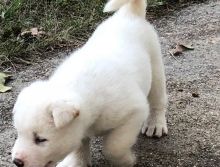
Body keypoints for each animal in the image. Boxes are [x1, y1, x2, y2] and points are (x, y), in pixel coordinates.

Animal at [11, 0, 167, 167]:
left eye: (40, 139)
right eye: (19, 133)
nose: (16, 161)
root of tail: (129, 14)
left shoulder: (135, 112)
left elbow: (114, 146)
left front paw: (126, 160)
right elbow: (80, 145)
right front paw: (77, 162)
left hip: (156, 69)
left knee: (158, 101)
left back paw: (155, 124)